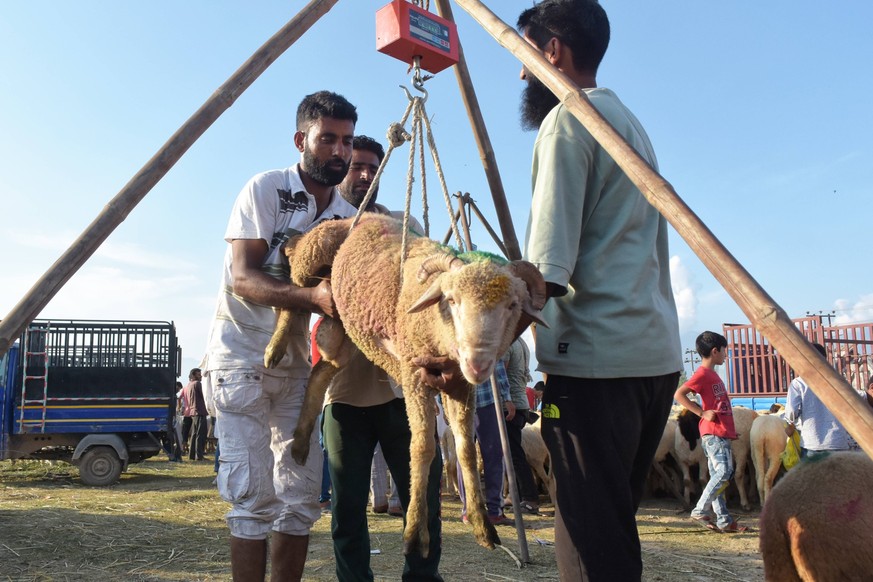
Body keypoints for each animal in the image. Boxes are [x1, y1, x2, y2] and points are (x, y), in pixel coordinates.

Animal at [262, 216, 544, 560]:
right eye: (451, 300)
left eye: (512, 305)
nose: (477, 361)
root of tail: (362, 216)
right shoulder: (414, 376)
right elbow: (421, 448)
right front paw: (414, 535)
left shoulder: (460, 386)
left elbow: (466, 449)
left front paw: (483, 528)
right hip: (314, 251)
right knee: (293, 293)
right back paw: (274, 350)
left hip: (345, 330)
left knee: (320, 372)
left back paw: (301, 444)